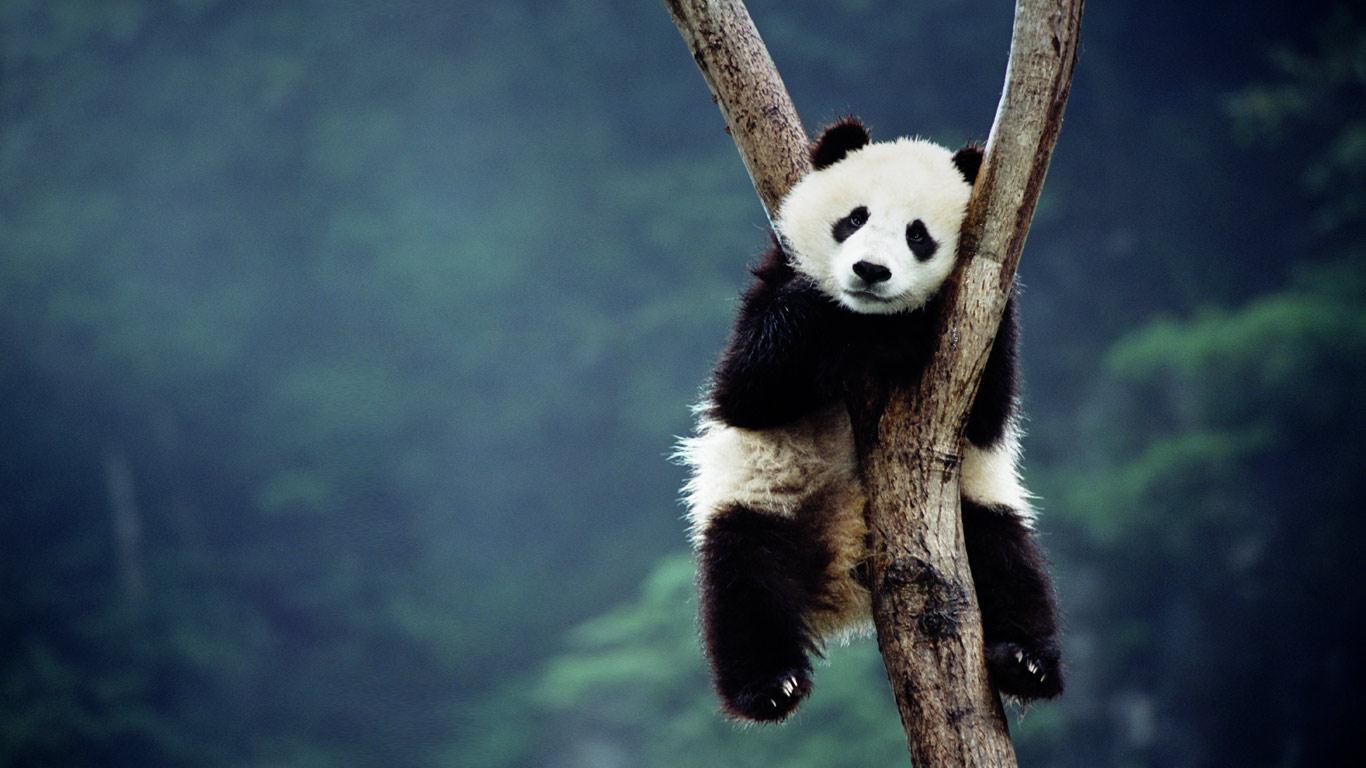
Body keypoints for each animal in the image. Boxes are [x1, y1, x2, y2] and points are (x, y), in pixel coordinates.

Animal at [678, 117, 1062, 723]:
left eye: (918, 235)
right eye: (854, 218)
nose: (869, 271)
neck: (867, 321)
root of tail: (843, 581)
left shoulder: (983, 317)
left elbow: (987, 414)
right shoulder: (773, 282)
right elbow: (747, 387)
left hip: (972, 512)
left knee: (1010, 562)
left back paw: (1026, 661)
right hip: (762, 500)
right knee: (743, 583)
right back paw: (770, 685)